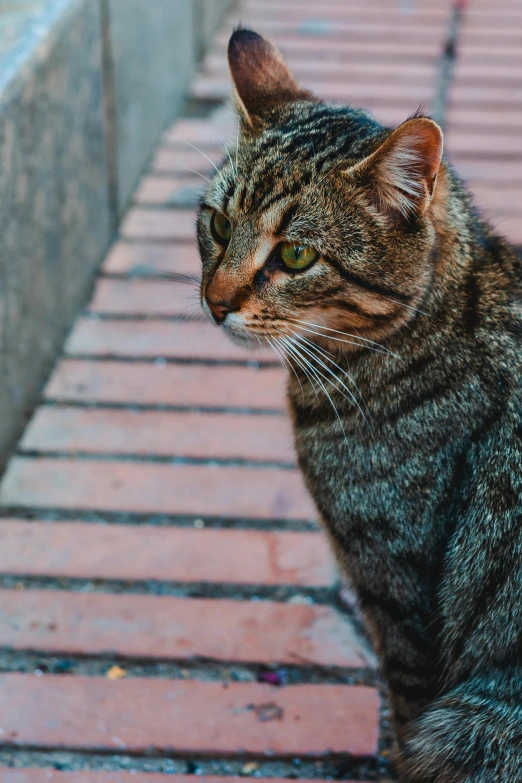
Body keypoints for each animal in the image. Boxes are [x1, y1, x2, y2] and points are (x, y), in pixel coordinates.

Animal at [195, 29, 520, 783]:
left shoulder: (396, 587)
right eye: (218, 224)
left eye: (295, 255)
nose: (216, 302)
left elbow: (405, 710)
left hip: (475, 720)